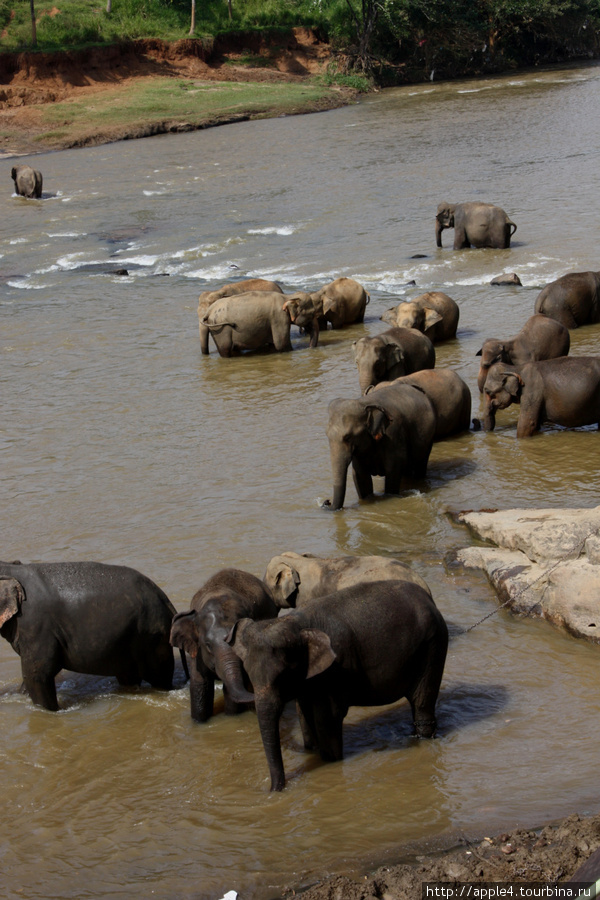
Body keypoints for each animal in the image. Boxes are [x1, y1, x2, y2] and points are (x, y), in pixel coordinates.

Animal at [0, 560, 185, 712]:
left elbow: (37, 675)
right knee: (129, 676)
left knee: (159, 678)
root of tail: (165, 599)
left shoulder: (36, 627)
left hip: (150, 637)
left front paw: (51, 712)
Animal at [170, 568, 278, 724]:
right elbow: (200, 685)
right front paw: (198, 723)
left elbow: (232, 688)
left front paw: (231, 717)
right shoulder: (197, 653)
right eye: (208, 645)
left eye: (240, 642)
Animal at [223, 580, 448, 792]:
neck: (296, 623)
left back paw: (423, 738)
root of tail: (429, 599)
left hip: (433, 646)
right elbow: (304, 715)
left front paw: (330, 761)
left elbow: (327, 719)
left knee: (422, 704)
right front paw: (311, 750)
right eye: (249, 675)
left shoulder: (336, 670)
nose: (272, 790)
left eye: (283, 676)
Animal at [324, 380, 436, 510]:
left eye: (348, 437)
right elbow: (360, 476)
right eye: (327, 435)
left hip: (428, 437)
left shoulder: (393, 434)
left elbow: (393, 471)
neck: (363, 403)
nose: (327, 501)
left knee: (420, 464)